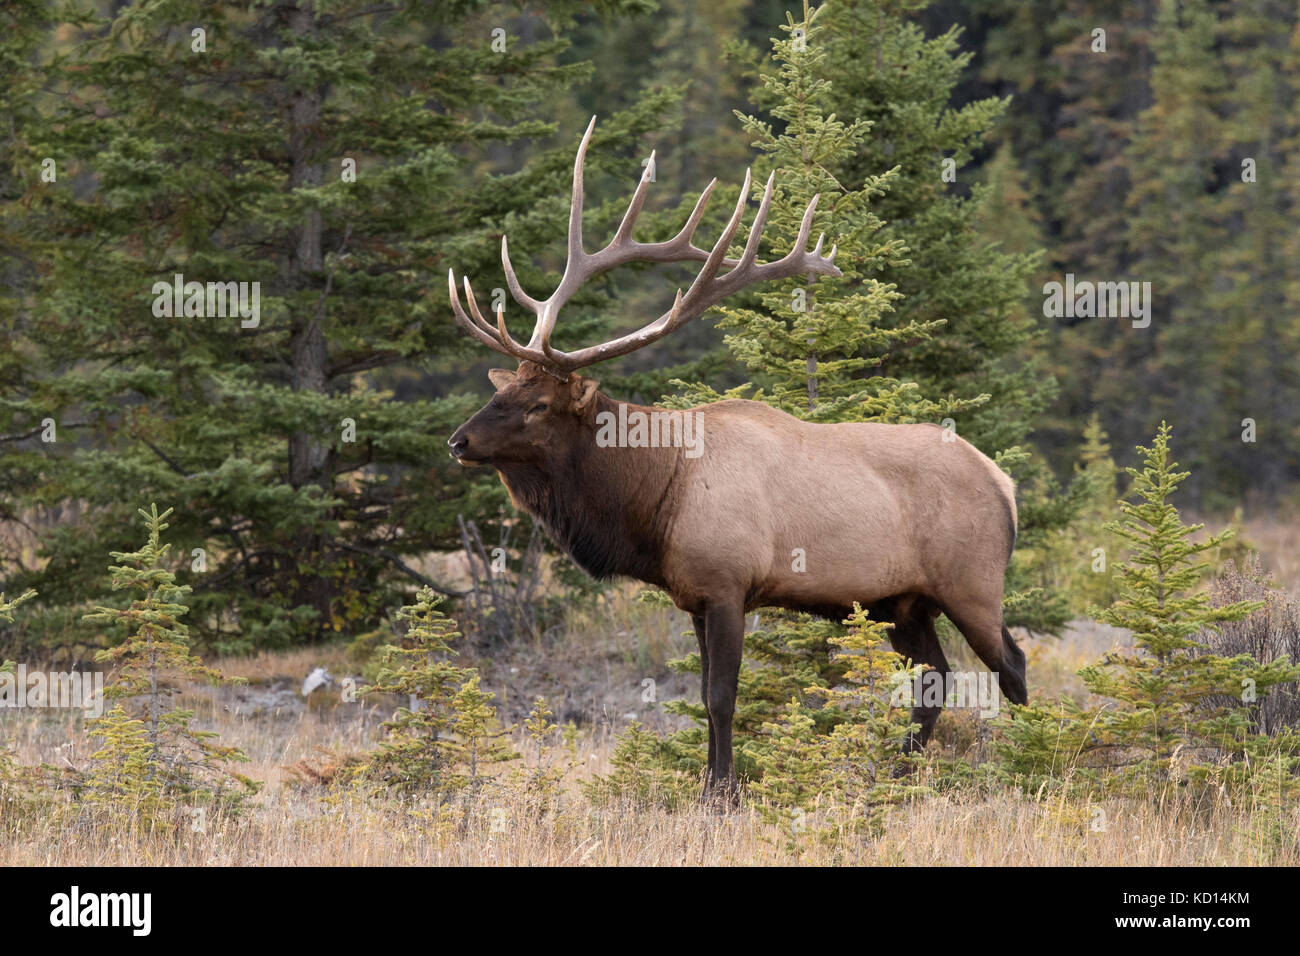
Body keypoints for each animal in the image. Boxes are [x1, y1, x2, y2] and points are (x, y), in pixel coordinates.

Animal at [447, 113, 1024, 801]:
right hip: (904, 601)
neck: (654, 499)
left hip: (973, 583)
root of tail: (1004, 482)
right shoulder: (694, 596)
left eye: (536, 405)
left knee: (1012, 669)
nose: (458, 441)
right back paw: (895, 774)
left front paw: (722, 795)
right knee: (933, 679)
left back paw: (1029, 757)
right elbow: (701, 696)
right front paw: (711, 785)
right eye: (501, 390)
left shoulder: (727, 582)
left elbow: (722, 697)